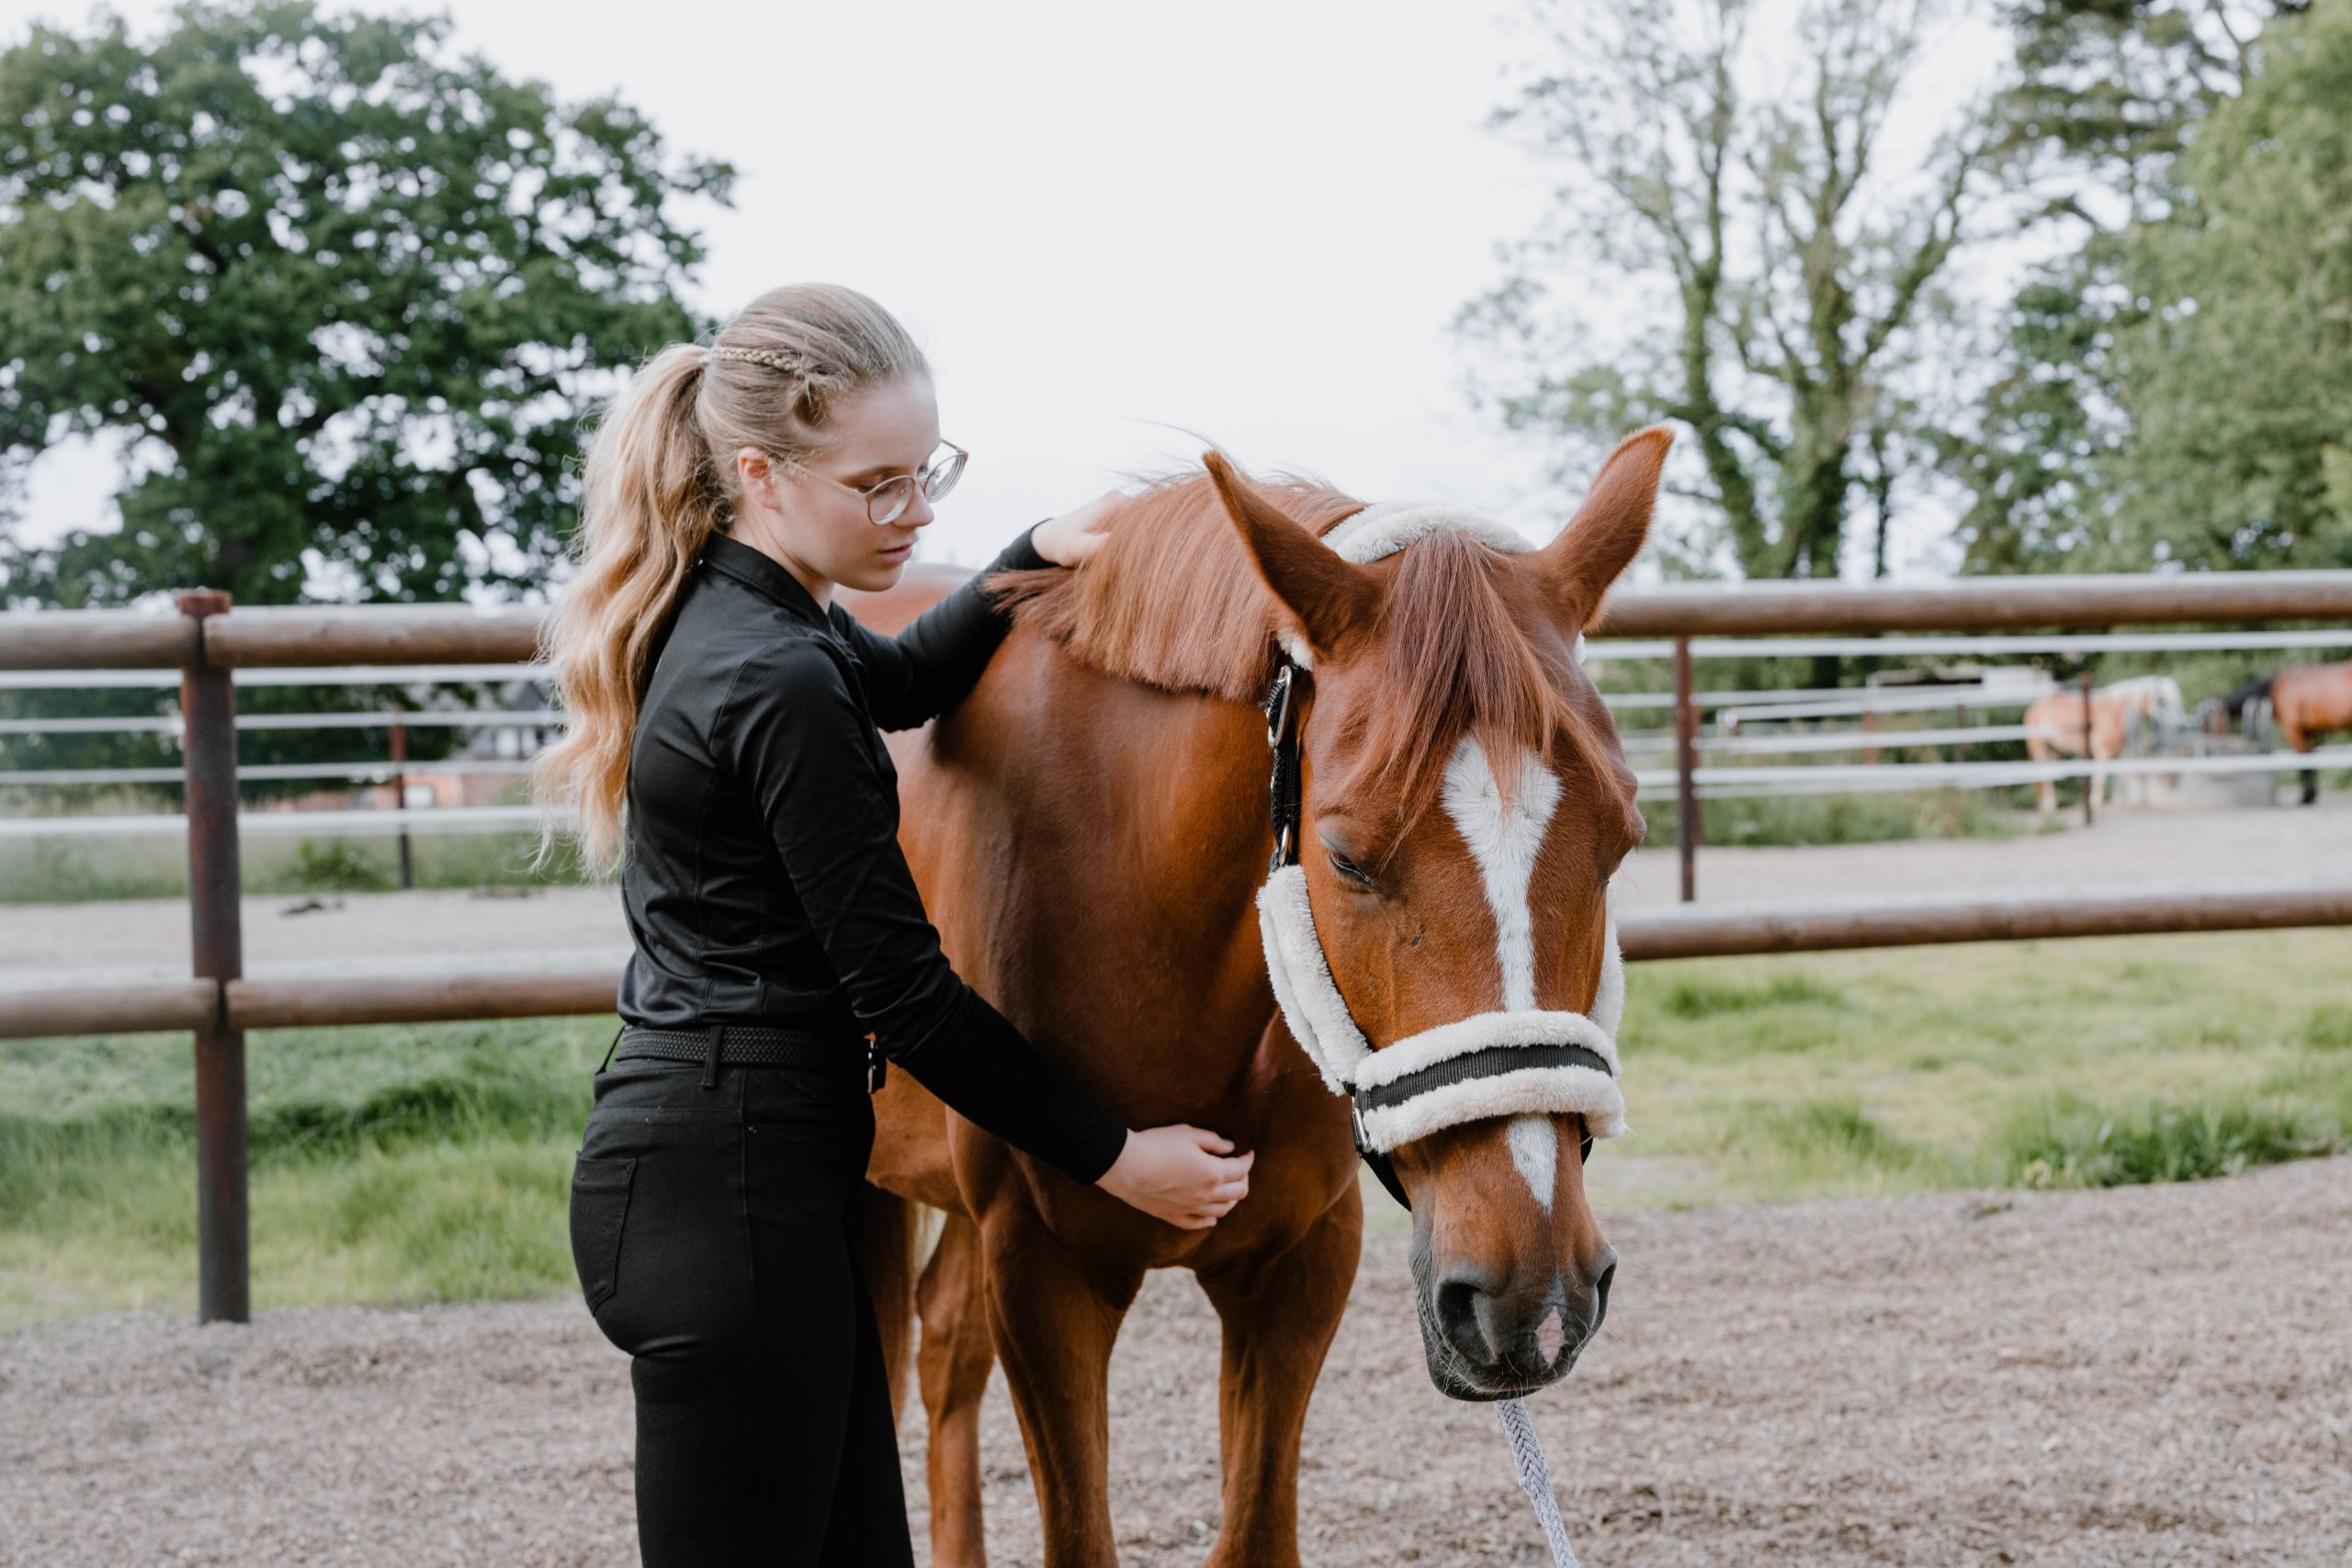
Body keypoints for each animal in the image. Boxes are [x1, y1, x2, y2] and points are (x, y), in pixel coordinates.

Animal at [837, 432, 1665, 1568]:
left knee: (943, 1346)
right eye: (1345, 857)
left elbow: (1256, 1532)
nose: (1529, 1298)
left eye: (1622, 843)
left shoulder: (1299, 1265)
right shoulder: (1042, 1272)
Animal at [2022, 677, 2182, 822]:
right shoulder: (2102, 750)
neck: (2116, 713)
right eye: (2163, 701)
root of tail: (2033, 708)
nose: (2180, 723)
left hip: (2052, 750)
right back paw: (2048, 807)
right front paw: (2095, 802)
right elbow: (2101, 776)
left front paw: (2117, 801)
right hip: (2038, 747)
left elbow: (2120, 777)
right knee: (2043, 774)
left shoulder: (2119, 754)